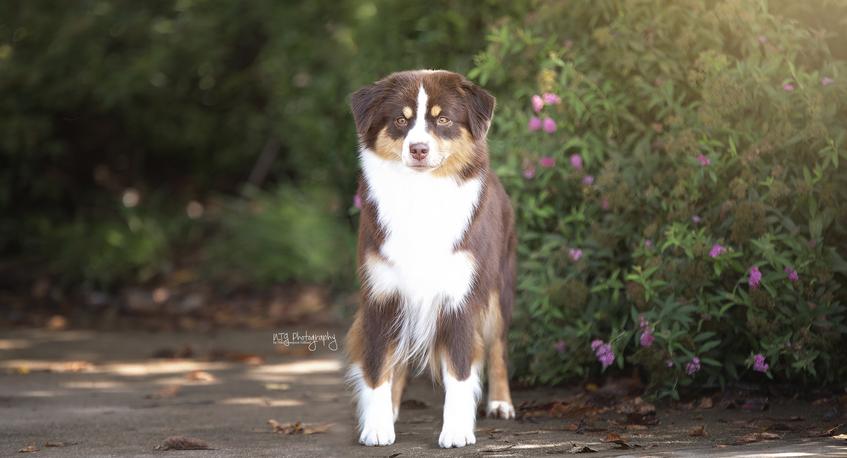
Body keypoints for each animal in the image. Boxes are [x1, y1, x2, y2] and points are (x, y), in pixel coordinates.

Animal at [346, 70, 516, 450]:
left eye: (443, 120)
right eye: (400, 120)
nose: (418, 149)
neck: (420, 197)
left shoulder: (460, 297)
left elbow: (460, 369)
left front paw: (456, 431)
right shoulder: (381, 296)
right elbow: (378, 366)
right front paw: (377, 426)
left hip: (497, 288)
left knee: (497, 345)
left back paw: (501, 403)